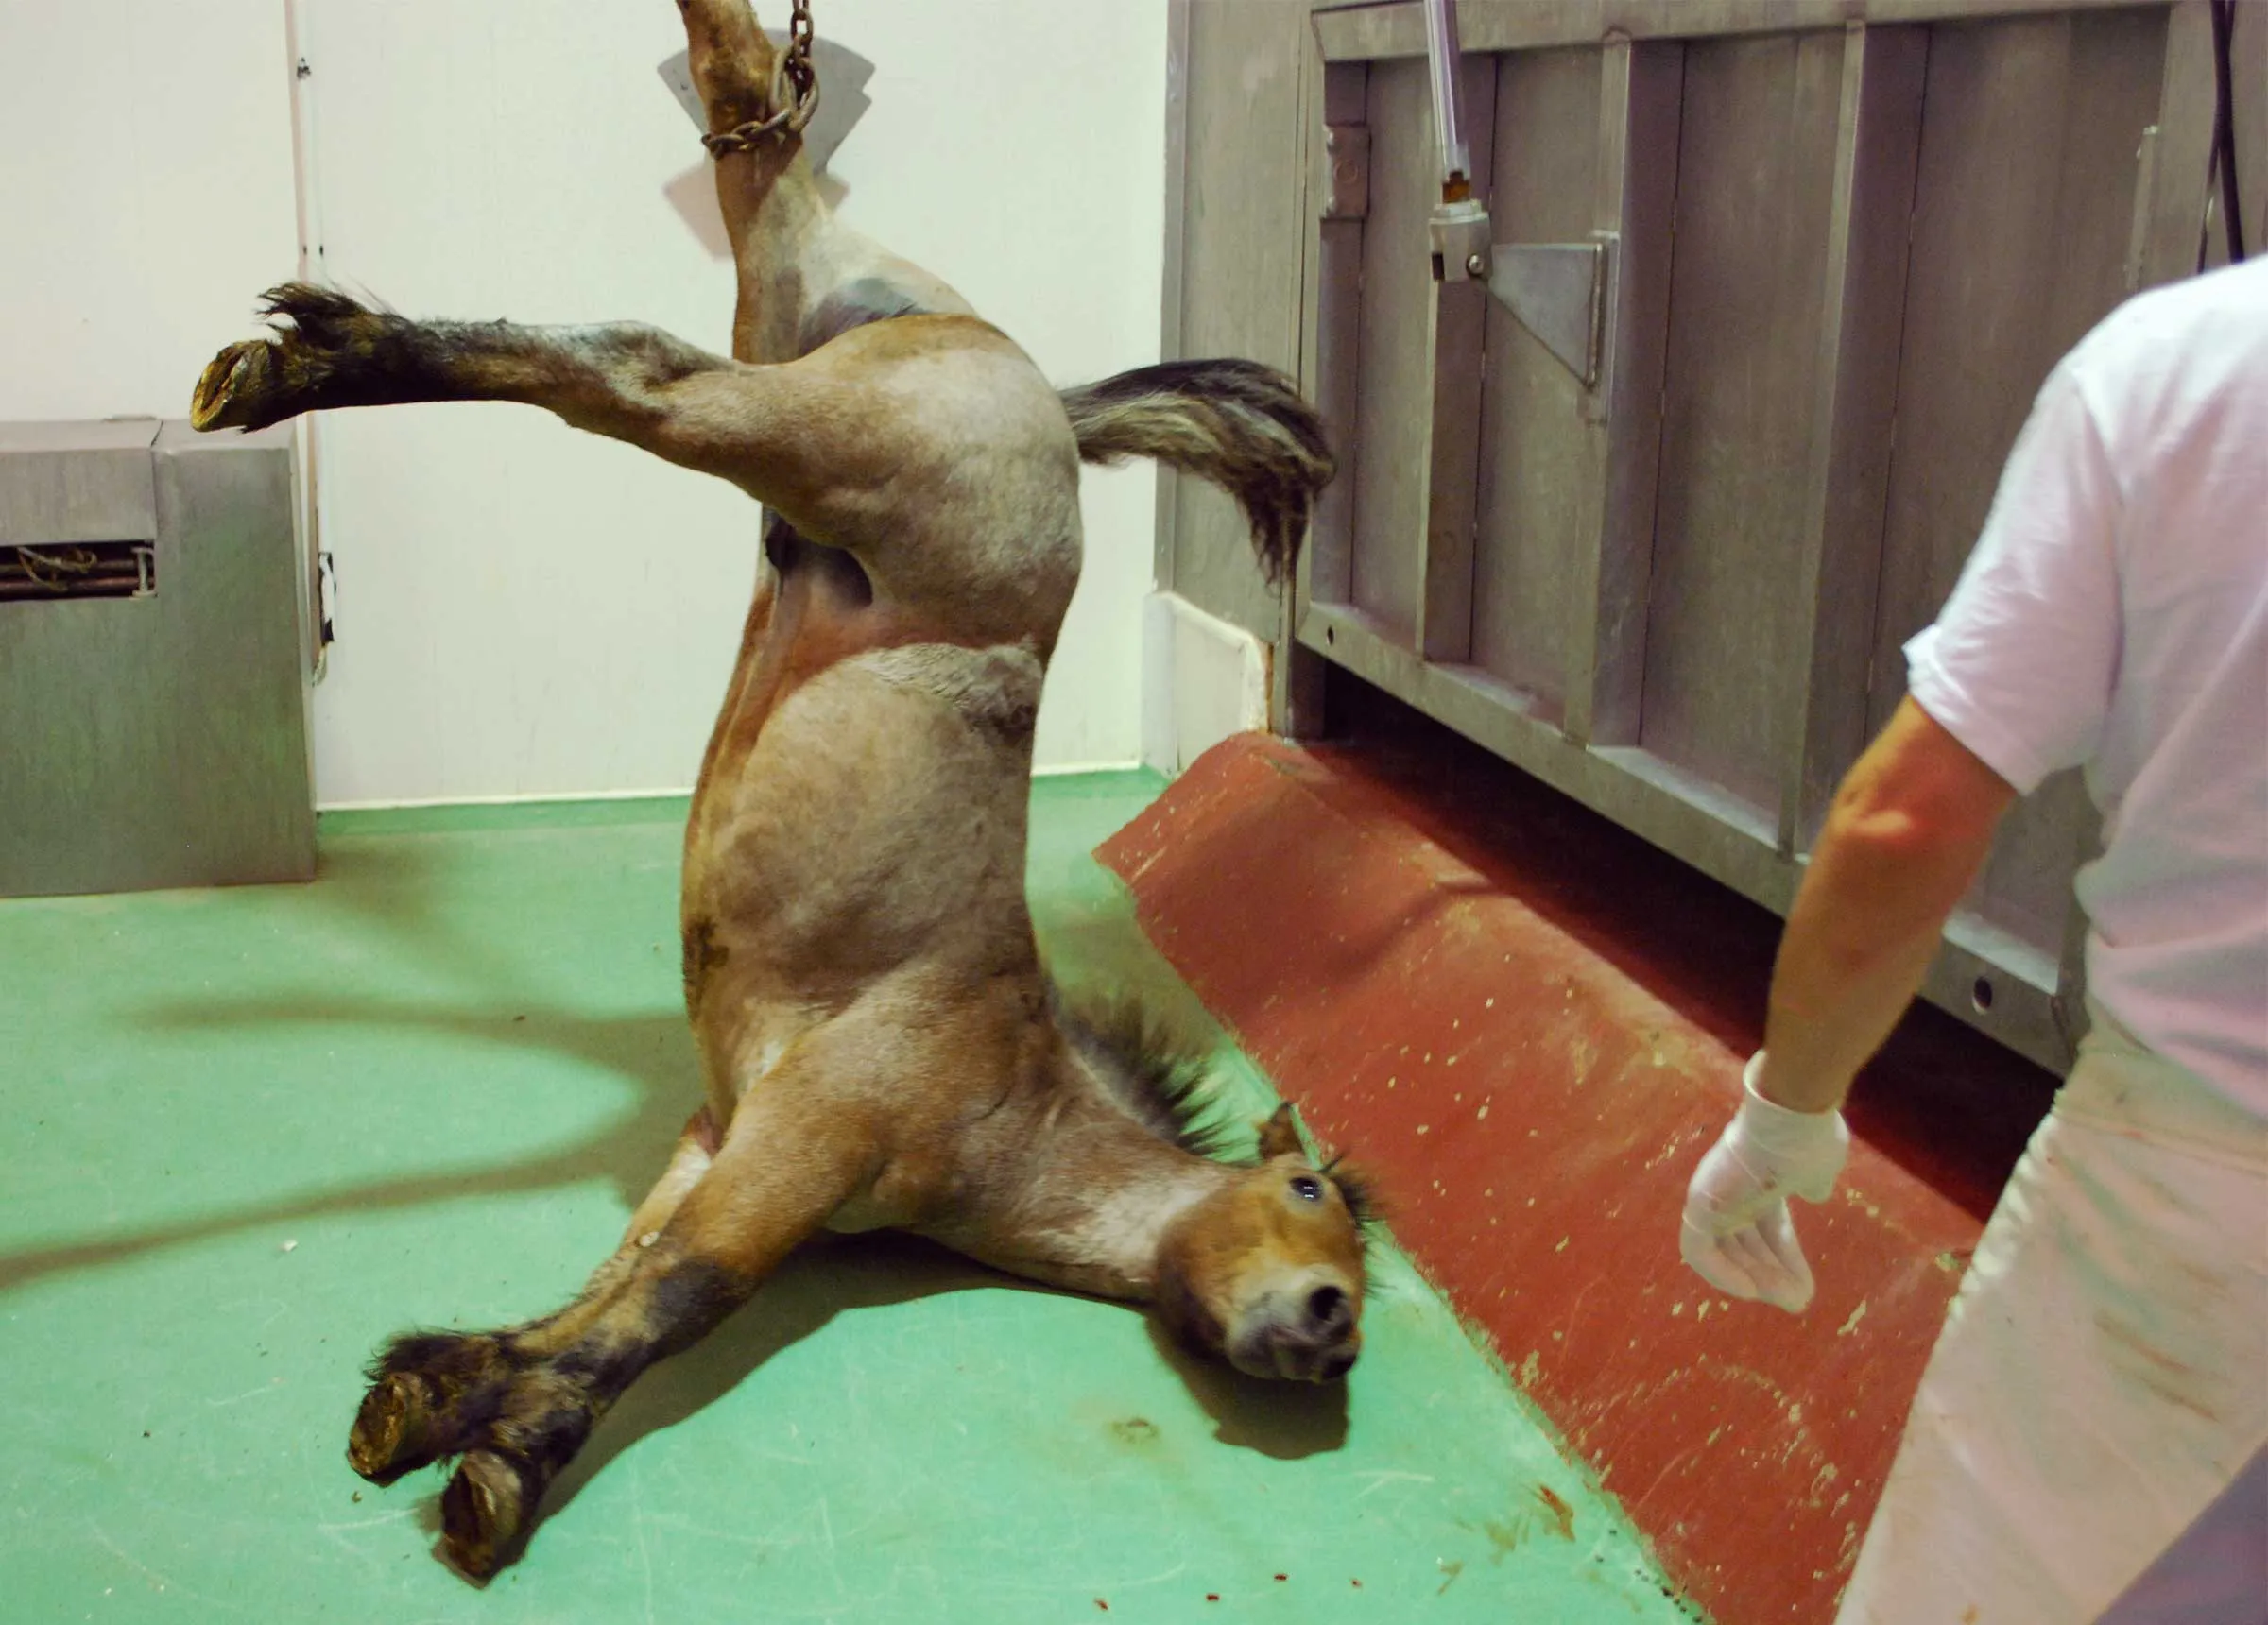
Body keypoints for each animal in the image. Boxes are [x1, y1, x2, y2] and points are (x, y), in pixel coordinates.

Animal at [188, 0, 1362, 1581]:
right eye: (1309, 1199)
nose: (1329, 1330)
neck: (1015, 1090)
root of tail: (1035, 383)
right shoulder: (799, 1155)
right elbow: (670, 1304)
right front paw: (507, 1471)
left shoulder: (720, 1142)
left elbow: (601, 1281)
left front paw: (429, 1395)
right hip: (837, 447)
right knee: (632, 368)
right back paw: (297, 366)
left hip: (794, 343)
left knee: (751, 128)